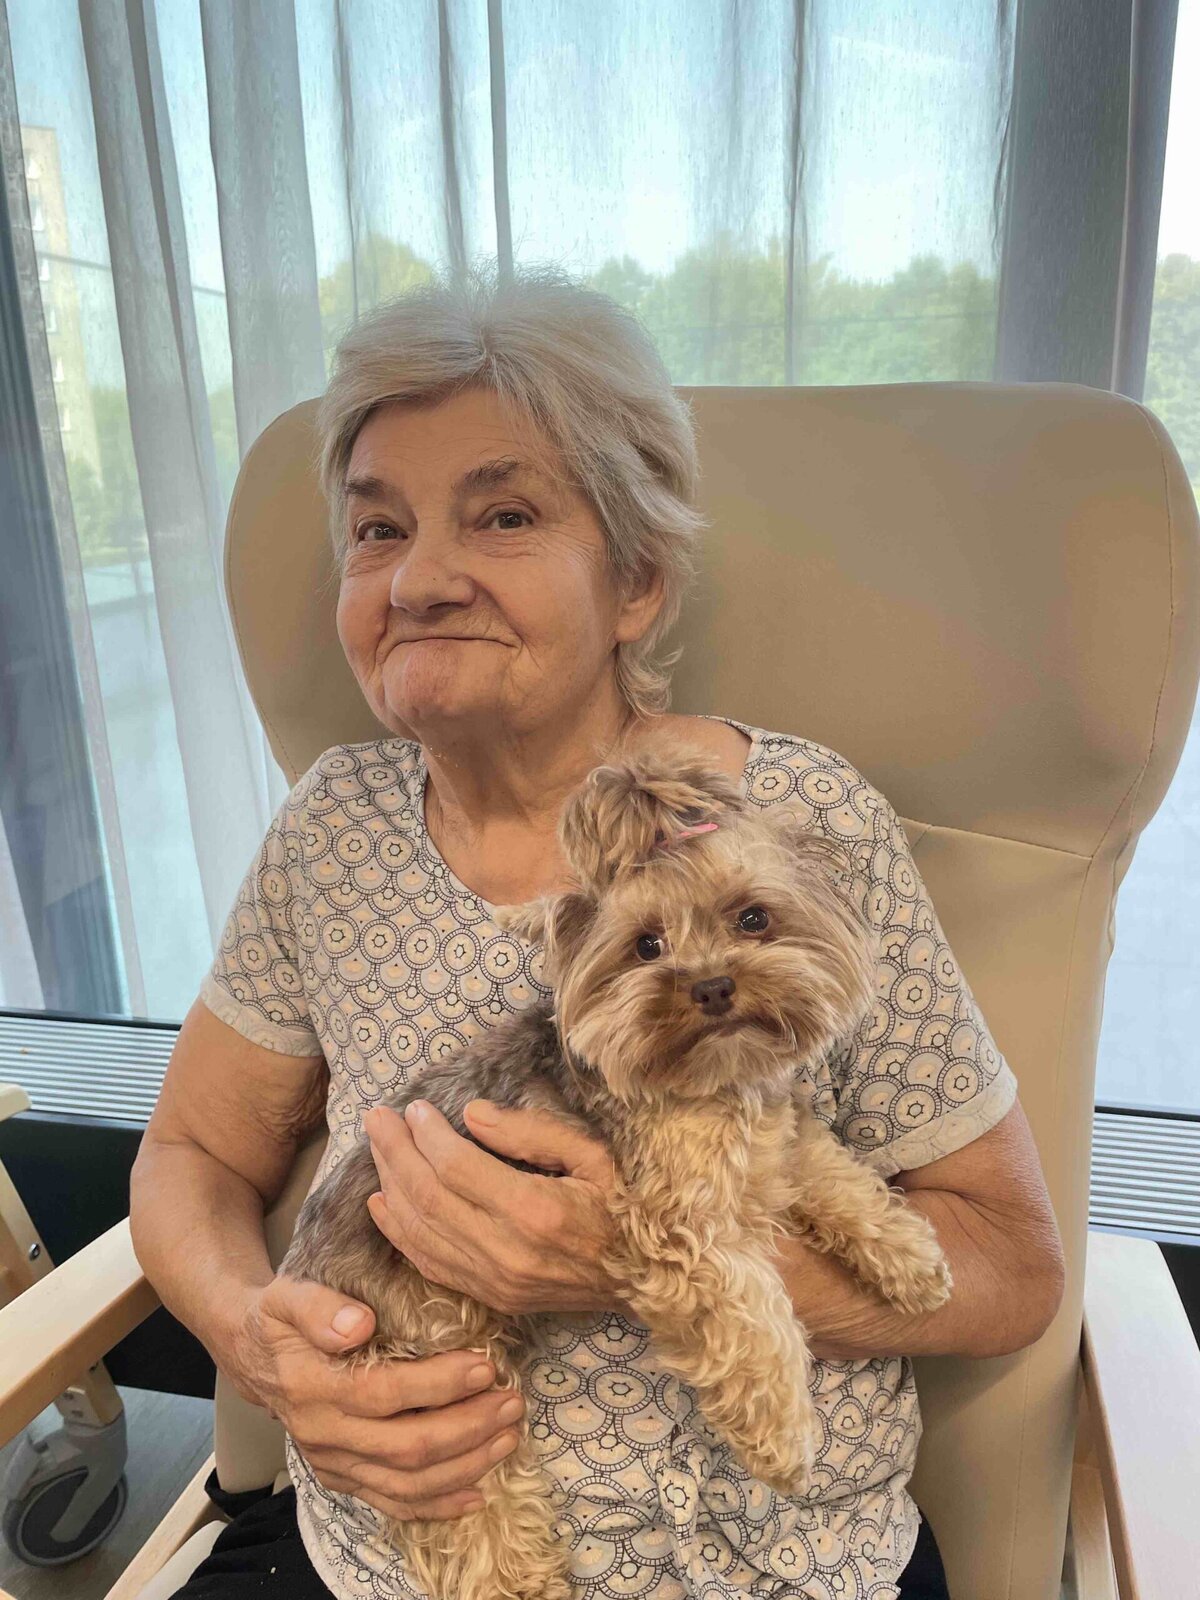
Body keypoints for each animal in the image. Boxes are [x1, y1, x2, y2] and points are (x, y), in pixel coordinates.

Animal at [282, 740, 952, 1600]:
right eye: (646, 947)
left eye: (753, 918)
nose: (712, 985)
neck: (717, 1084)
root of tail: (303, 1265)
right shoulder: (675, 1226)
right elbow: (752, 1312)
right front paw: (782, 1437)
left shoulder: (782, 1141)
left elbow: (840, 1176)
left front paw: (910, 1259)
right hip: (433, 1367)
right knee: (469, 1510)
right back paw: (524, 1582)